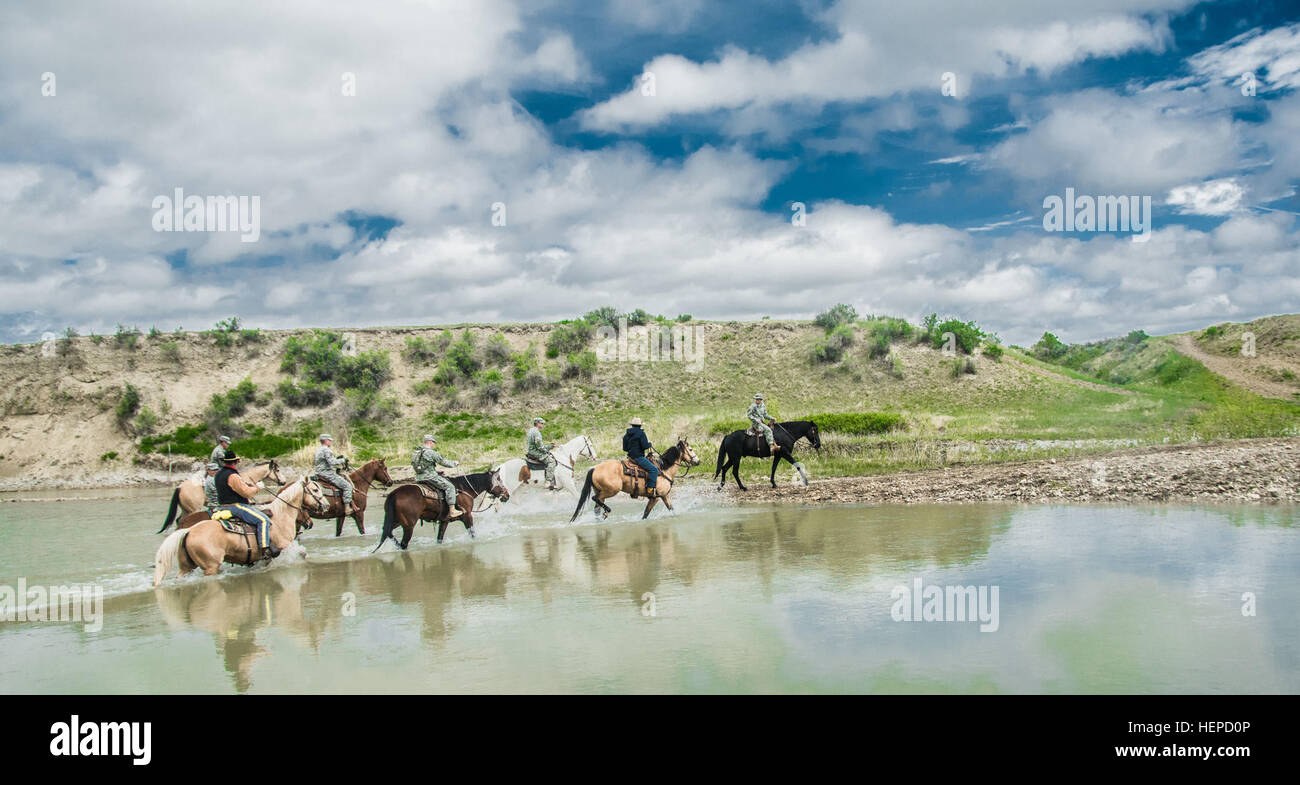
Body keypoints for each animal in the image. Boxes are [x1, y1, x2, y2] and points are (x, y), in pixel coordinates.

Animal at [152, 475, 327, 584]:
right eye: (315, 490)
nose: (325, 505)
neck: (279, 516)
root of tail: (189, 531)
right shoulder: (284, 546)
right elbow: (302, 554)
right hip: (210, 567)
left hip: (186, 567)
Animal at [158, 460, 286, 532]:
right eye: (278, 470)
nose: (283, 482)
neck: (246, 479)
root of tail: (180, 487)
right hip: (193, 509)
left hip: (186, 509)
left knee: (179, 520)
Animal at [374, 467, 509, 548]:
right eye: (499, 480)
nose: (507, 495)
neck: (464, 489)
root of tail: (393, 494)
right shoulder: (467, 516)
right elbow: (472, 534)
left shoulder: (444, 521)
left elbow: (439, 538)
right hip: (408, 526)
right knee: (403, 543)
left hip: (396, 521)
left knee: (388, 532)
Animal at [569, 436, 702, 522]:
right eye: (690, 449)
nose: (698, 461)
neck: (664, 469)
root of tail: (595, 468)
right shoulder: (656, 498)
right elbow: (646, 514)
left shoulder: (664, 496)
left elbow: (671, 509)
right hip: (611, 490)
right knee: (595, 498)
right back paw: (607, 510)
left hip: (600, 490)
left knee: (596, 507)